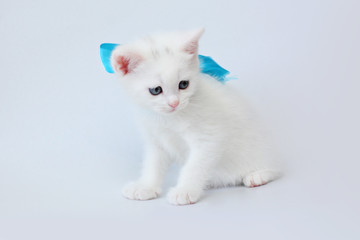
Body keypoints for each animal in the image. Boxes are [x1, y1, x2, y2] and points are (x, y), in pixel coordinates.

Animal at [111, 28, 280, 204]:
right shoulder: (156, 140)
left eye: (183, 84)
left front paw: (185, 191)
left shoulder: (209, 138)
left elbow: (194, 166)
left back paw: (258, 175)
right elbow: (153, 164)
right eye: (156, 90)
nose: (175, 103)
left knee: (273, 168)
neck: (168, 119)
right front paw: (146, 186)